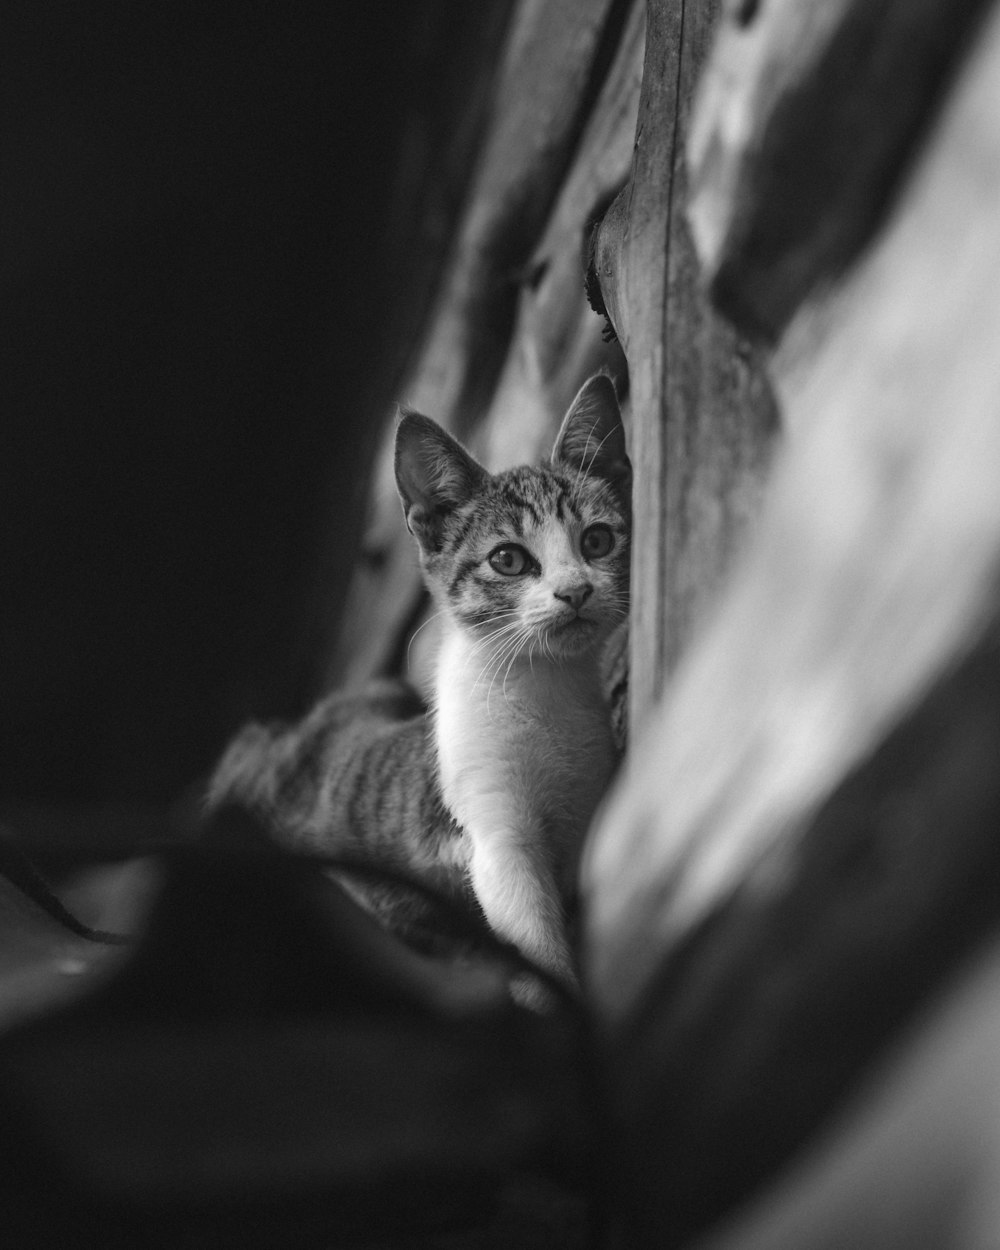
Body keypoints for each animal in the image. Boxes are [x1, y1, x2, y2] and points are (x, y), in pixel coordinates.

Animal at [208, 375, 632, 990]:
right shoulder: (493, 834)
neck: (544, 685)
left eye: (597, 541)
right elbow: (536, 946)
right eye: (508, 559)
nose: (575, 591)